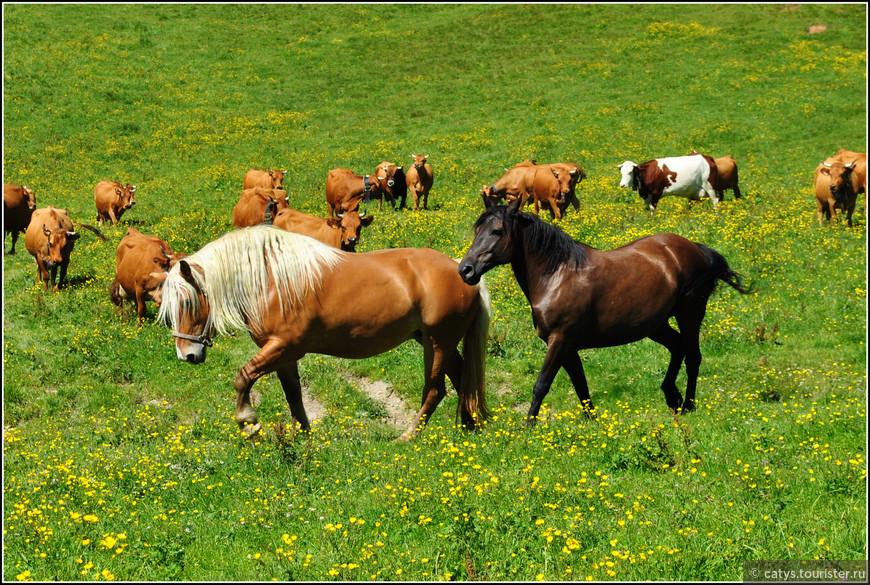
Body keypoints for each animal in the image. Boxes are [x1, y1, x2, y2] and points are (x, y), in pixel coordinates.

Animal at [158, 226, 490, 440]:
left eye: (186, 301)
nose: (186, 354)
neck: (271, 280)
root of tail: (460, 270)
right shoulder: (283, 355)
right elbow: (293, 394)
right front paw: (303, 436)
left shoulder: (282, 347)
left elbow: (243, 378)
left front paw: (248, 422)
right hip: (436, 341)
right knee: (462, 379)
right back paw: (470, 428)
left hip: (437, 342)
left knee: (435, 390)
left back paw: (409, 436)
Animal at [460, 198, 752, 422]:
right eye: (477, 230)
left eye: (497, 231)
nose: (466, 270)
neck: (557, 275)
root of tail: (698, 250)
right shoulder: (568, 347)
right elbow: (581, 385)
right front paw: (593, 423)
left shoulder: (560, 340)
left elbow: (542, 384)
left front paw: (528, 428)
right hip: (656, 325)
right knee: (678, 347)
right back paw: (672, 396)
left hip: (690, 314)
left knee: (693, 357)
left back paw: (688, 404)